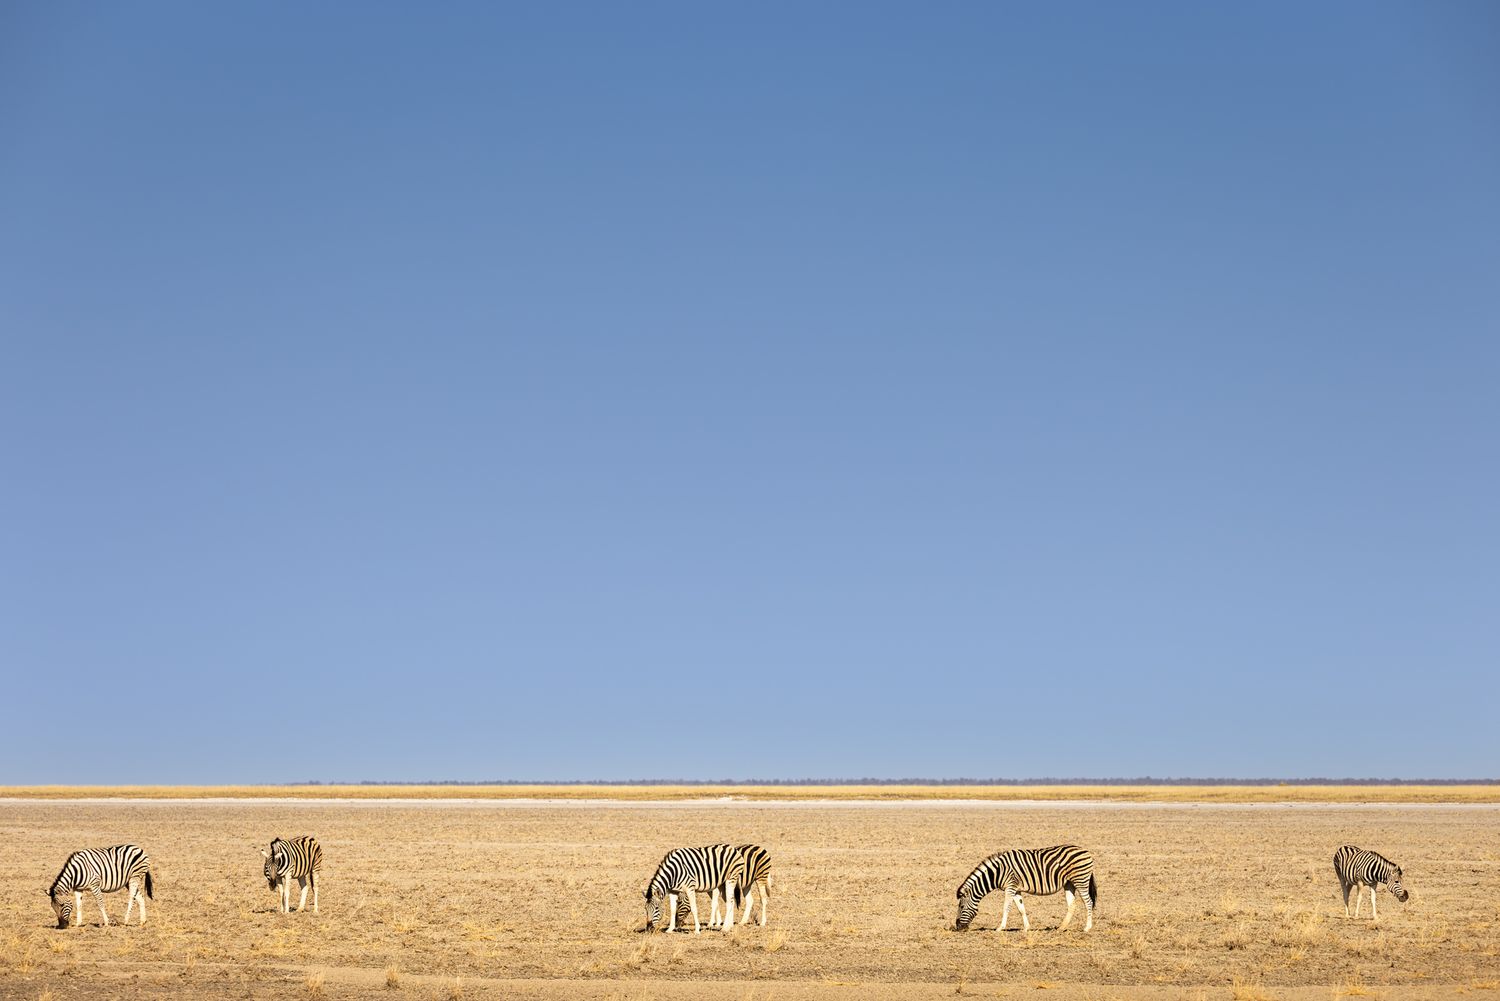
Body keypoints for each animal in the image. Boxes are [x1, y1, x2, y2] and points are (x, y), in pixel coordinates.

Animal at [954, 845, 1097, 933]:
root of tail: (1086, 851)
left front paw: (1000, 928)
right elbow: (1021, 908)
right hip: (1069, 883)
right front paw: (1027, 928)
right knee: (1072, 904)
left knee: (1088, 902)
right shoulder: (1016, 889)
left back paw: (1087, 928)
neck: (997, 872)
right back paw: (1061, 927)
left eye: (961, 907)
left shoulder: (1010, 886)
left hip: (1081, 880)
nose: (958, 927)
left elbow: (1006, 907)